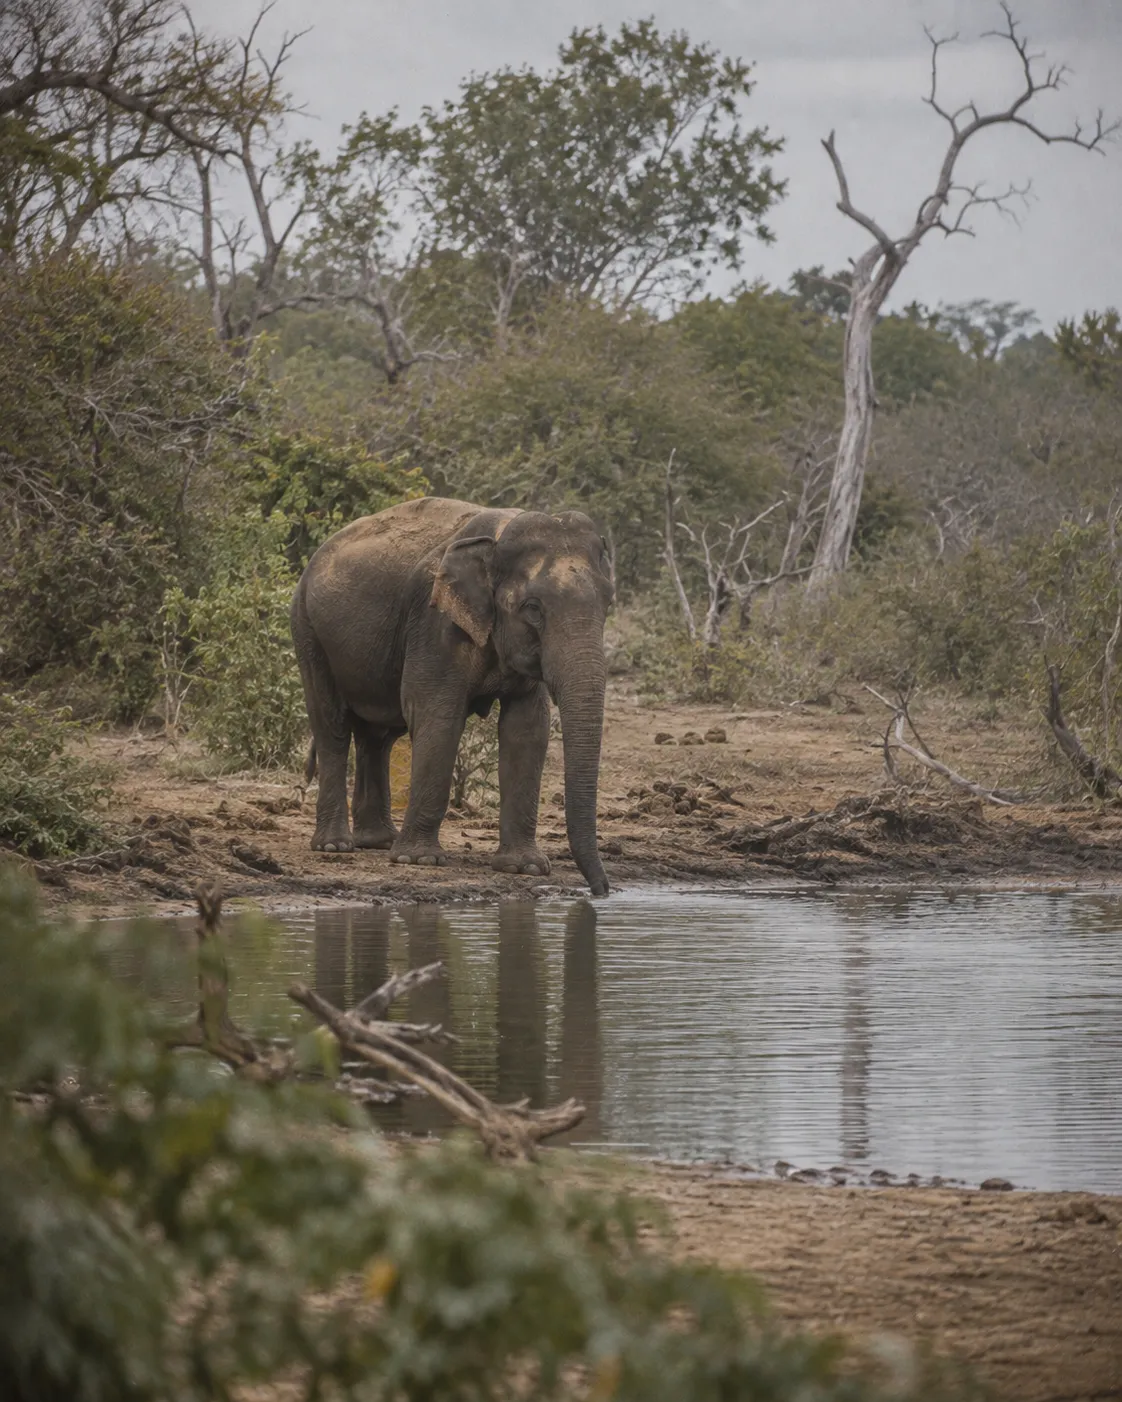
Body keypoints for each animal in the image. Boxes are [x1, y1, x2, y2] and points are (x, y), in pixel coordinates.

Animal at [290, 497, 614, 896]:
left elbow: (526, 730)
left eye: (608, 602)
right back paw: (336, 846)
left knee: (377, 736)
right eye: (533, 608)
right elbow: (437, 716)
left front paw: (526, 868)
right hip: (307, 629)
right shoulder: (434, 623)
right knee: (332, 726)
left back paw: (378, 842)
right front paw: (419, 861)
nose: (601, 891)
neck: (499, 536)